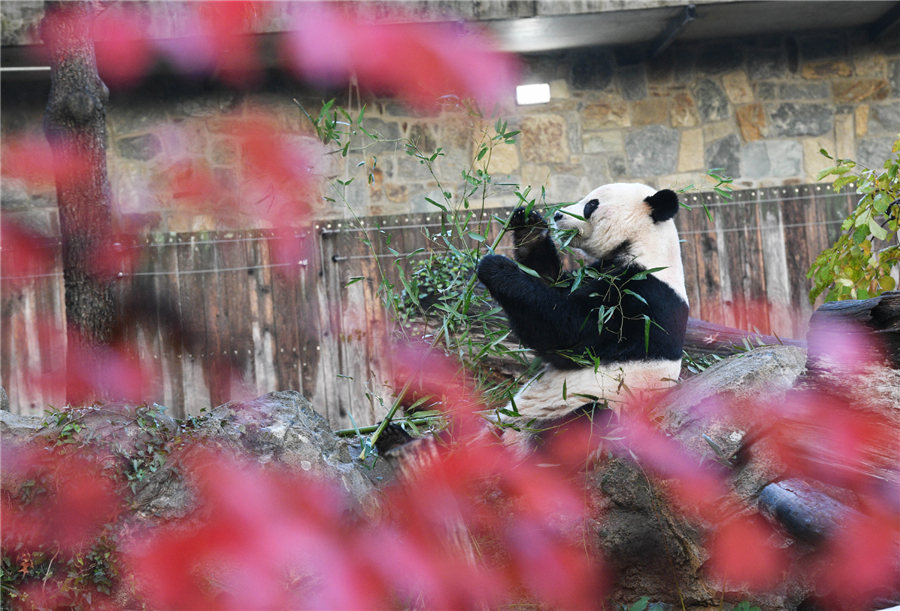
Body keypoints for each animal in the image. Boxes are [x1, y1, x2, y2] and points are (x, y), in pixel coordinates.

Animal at [476, 182, 689, 423]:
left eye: (591, 204)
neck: (646, 245)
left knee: (587, 416)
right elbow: (554, 281)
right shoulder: (597, 271)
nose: (557, 215)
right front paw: (529, 227)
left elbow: (569, 332)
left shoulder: (642, 301)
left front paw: (496, 267)